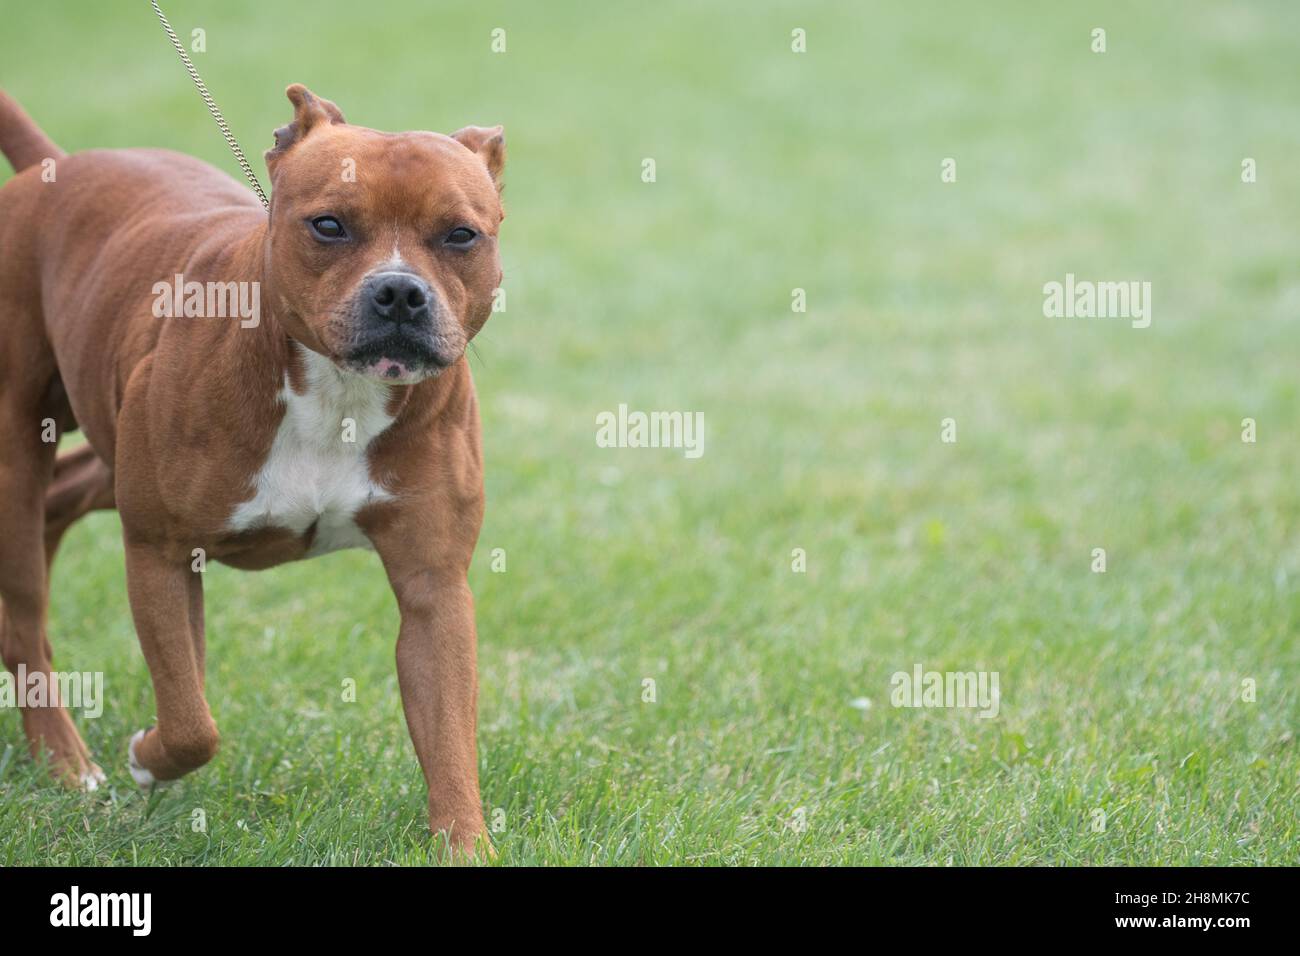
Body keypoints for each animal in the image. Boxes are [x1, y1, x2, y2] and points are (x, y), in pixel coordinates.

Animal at [0, 85, 501, 858]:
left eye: (460, 236)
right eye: (328, 225)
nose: (399, 293)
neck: (336, 391)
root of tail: (57, 165)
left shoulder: (434, 587)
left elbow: (449, 737)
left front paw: (464, 845)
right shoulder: (160, 551)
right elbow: (191, 723)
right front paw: (146, 757)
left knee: (65, 496)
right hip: (18, 444)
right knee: (24, 612)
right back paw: (64, 762)